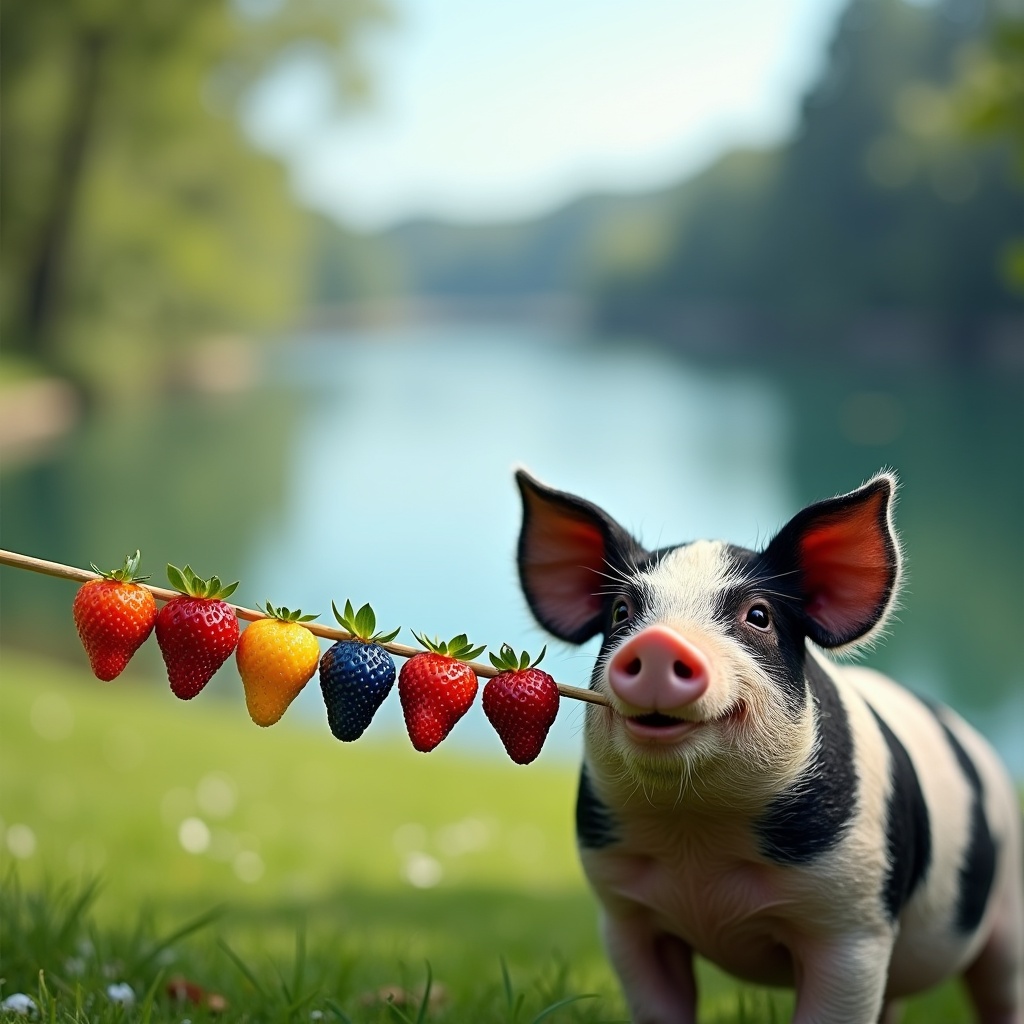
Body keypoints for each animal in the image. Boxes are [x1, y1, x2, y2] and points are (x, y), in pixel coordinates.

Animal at [516, 471, 1019, 1024]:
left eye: (758, 615)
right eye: (622, 612)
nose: (659, 642)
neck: (695, 836)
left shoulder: (852, 928)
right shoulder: (625, 915)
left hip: (1008, 906)